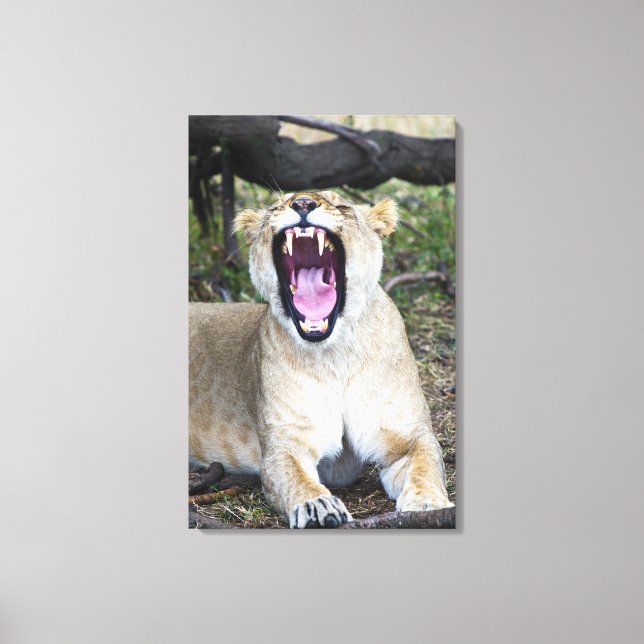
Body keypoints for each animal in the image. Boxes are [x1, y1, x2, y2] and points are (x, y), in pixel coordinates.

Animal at [189, 190, 453, 528]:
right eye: (276, 207)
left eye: (342, 206)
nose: (302, 203)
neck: (334, 354)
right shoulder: (285, 444)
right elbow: (295, 479)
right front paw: (317, 507)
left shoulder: (407, 436)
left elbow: (426, 465)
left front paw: (427, 505)